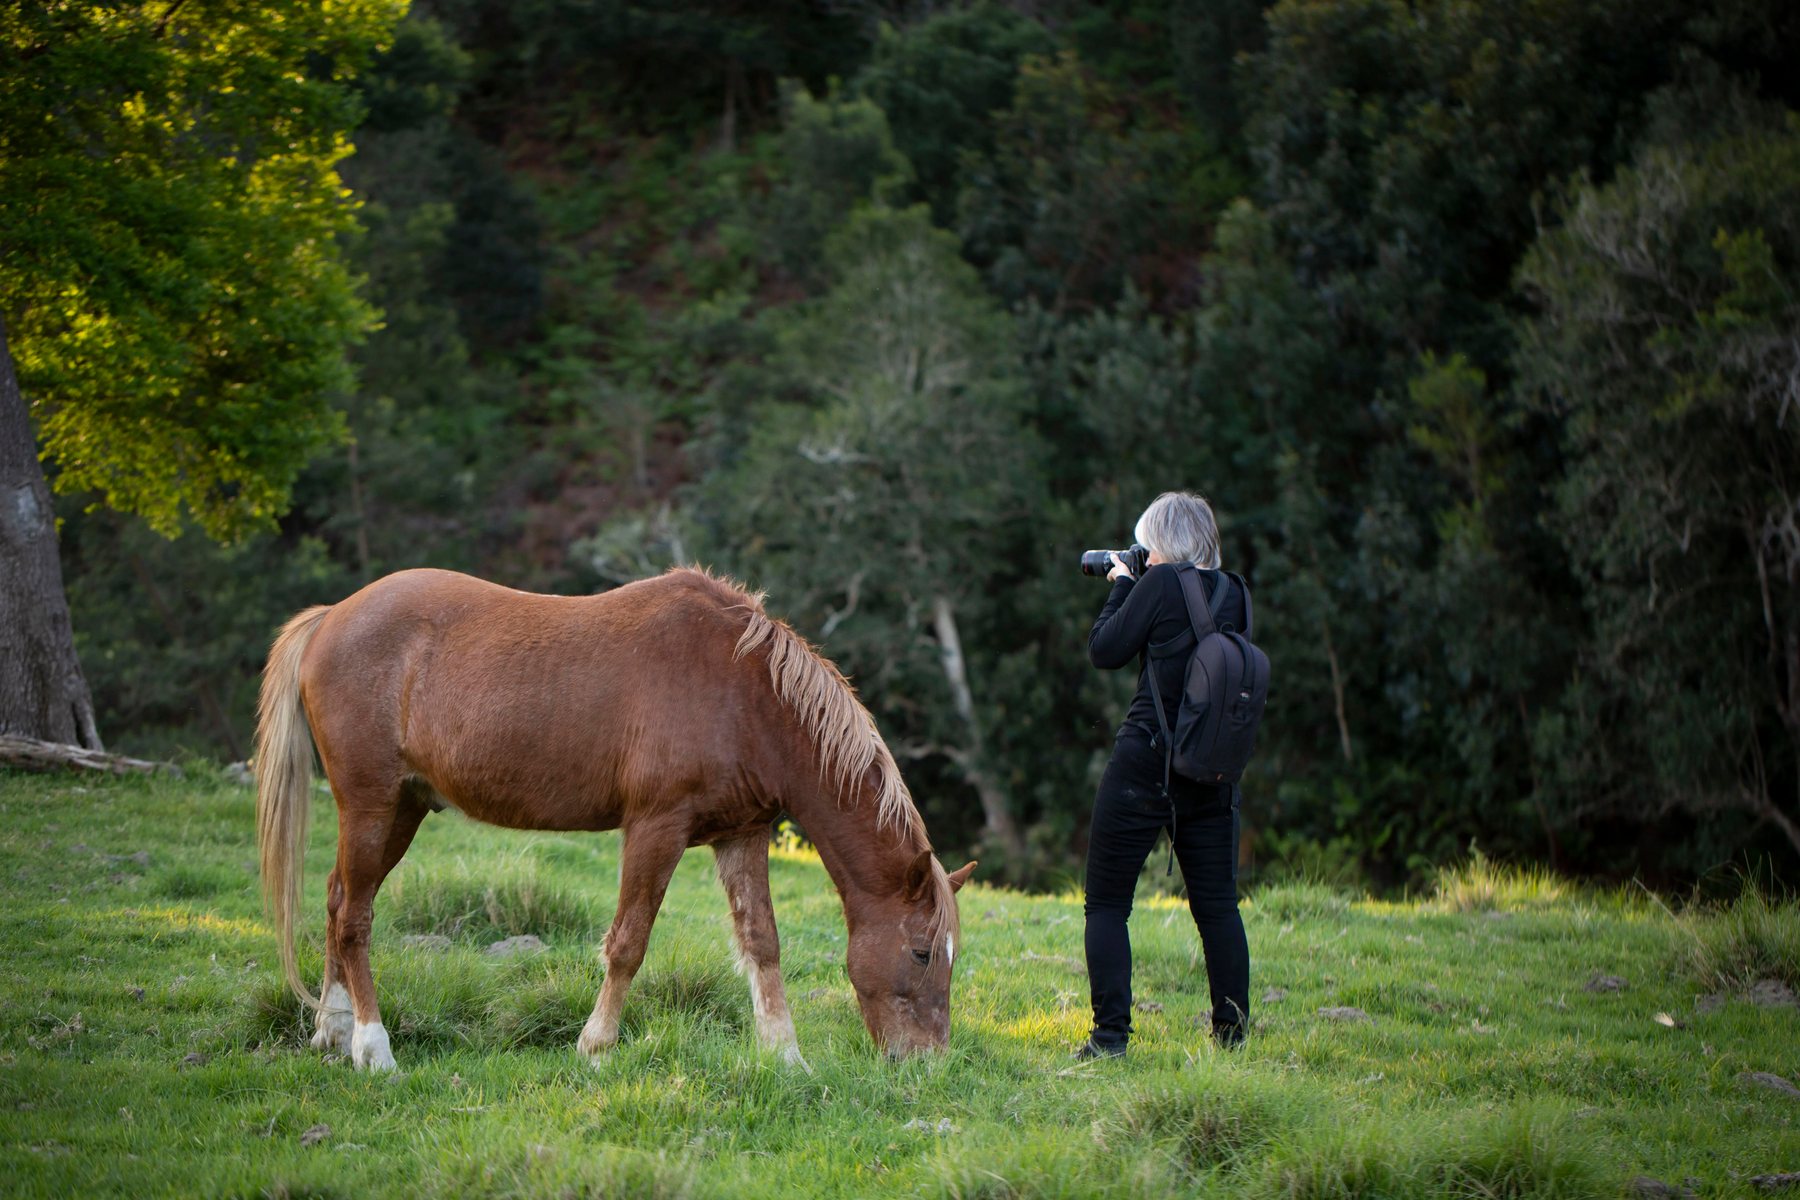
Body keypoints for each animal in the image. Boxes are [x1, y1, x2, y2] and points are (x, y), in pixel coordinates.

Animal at [254, 566, 976, 1071]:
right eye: (921, 951)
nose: (927, 1063)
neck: (744, 692)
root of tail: (330, 618)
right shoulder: (656, 829)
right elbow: (629, 941)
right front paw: (596, 1047)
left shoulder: (741, 835)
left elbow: (762, 943)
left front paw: (785, 1055)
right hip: (371, 804)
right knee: (355, 916)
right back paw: (372, 1048)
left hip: (402, 808)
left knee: (337, 899)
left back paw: (331, 1029)